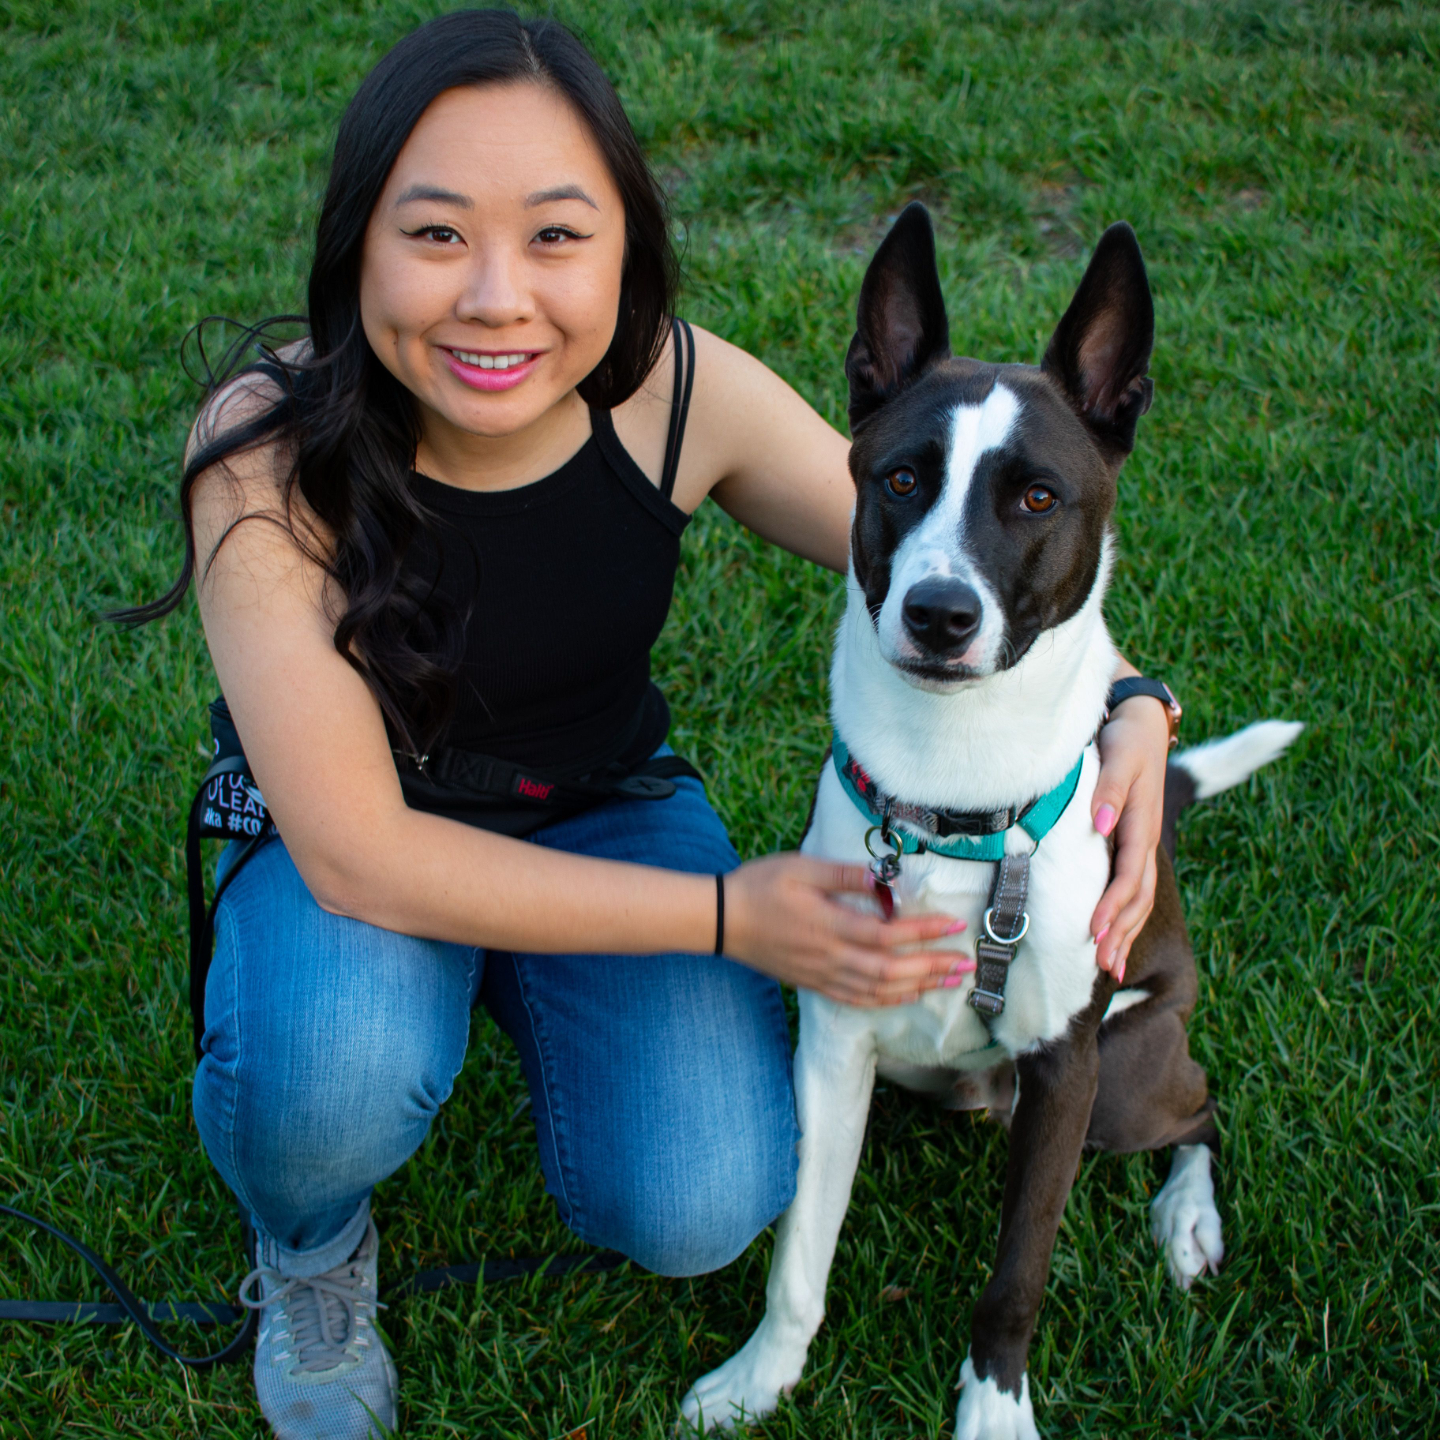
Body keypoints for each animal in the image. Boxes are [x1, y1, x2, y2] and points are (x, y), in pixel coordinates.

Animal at [679, 205, 1301, 1438]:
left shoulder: (1064, 1071)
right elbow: (799, 1253)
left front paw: (995, 1409)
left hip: (1126, 1081)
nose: (938, 613)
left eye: (1038, 497)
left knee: (1204, 1112)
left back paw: (1186, 1221)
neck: (957, 797)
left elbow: (1017, 1275)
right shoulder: (833, 1047)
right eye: (901, 477)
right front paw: (760, 1380)